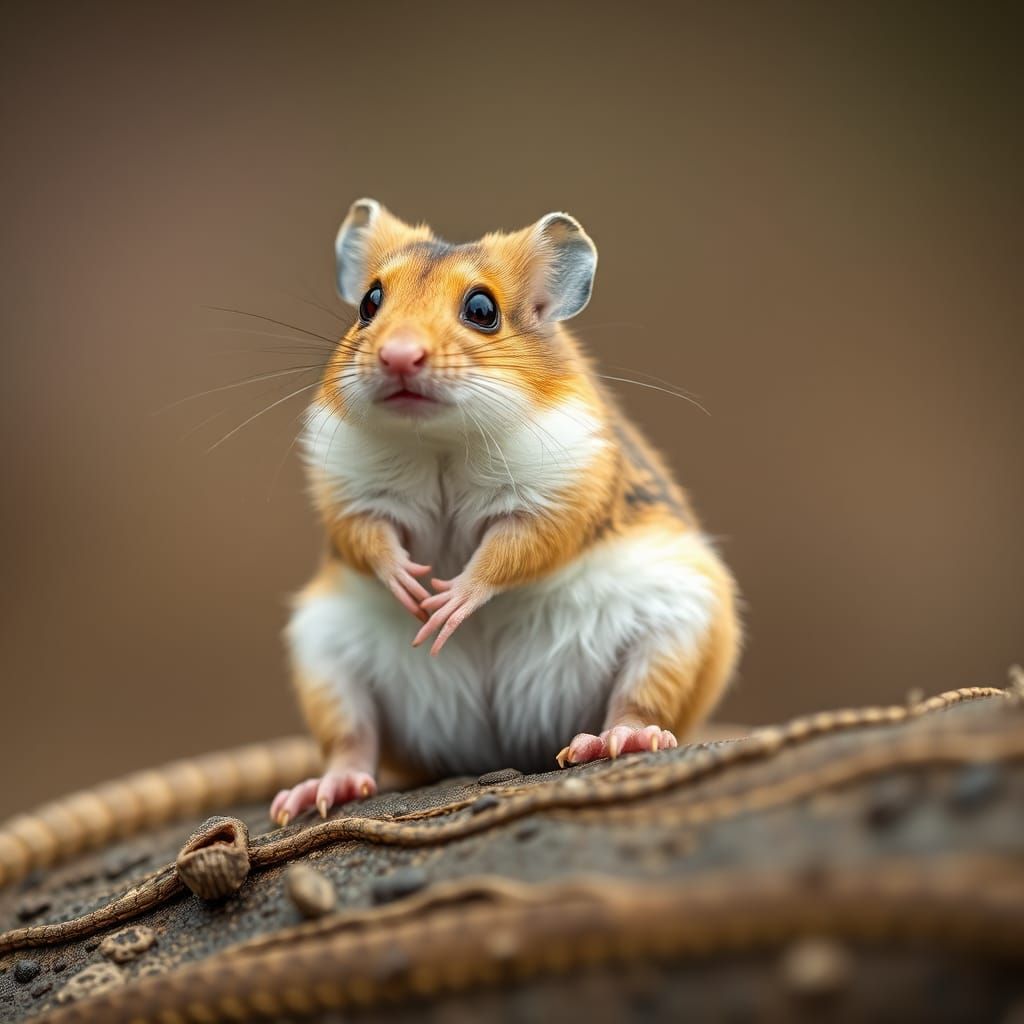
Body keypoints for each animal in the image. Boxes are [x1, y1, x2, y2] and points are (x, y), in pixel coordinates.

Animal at [271, 199, 741, 825]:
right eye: (370, 302)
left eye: (482, 310)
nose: (397, 356)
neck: (439, 441)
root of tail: (497, 746)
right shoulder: (347, 493)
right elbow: (369, 539)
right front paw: (411, 587)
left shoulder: (557, 497)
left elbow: (507, 552)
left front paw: (446, 602)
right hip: (323, 654)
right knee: (353, 740)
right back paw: (323, 789)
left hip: (680, 623)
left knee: (639, 703)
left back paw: (615, 740)